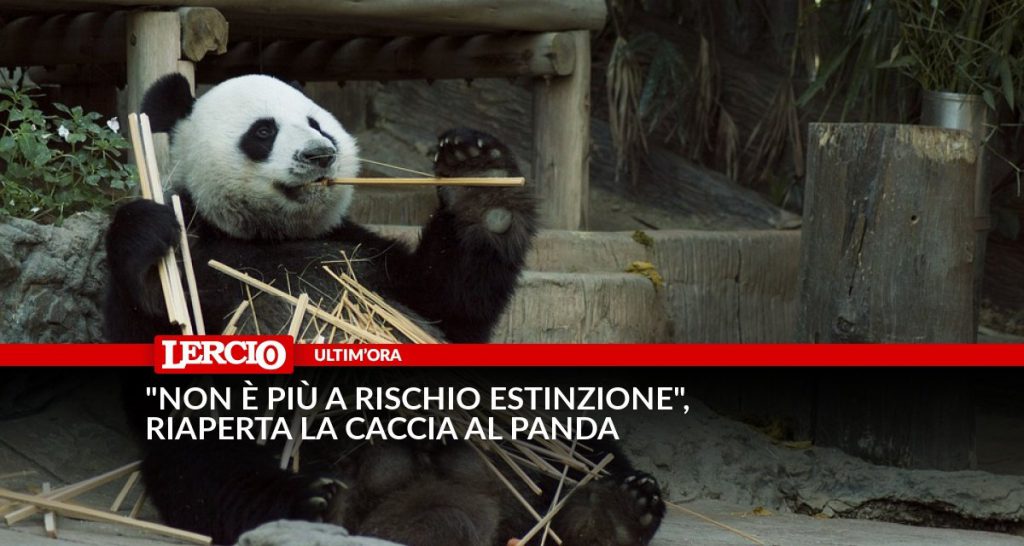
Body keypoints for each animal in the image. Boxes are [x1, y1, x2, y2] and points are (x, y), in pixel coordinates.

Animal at [104, 74, 666, 546]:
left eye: (316, 122)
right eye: (263, 131)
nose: (320, 154)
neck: (269, 235)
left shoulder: (364, 255)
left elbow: (451, 304)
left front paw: (479, 176)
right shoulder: (202, 261)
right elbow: (146, 340)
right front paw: (145, 231)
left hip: (510, 417)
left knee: (574, 438)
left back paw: (610, 510)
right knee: (213, 470)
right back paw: (312, 503)